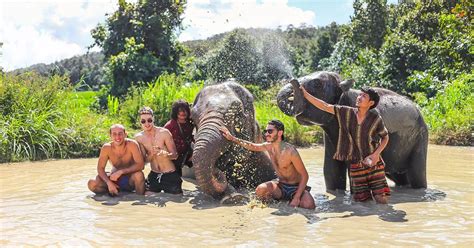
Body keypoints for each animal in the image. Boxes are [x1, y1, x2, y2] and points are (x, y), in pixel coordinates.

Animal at [278, 70, 430, 193]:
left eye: (317, 84)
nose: (293, 81)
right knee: (401, 177)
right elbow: (331, 172)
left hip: (420, 137)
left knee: (417, 174)